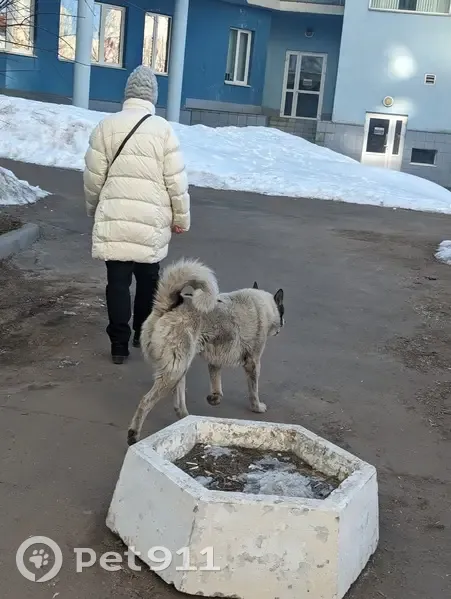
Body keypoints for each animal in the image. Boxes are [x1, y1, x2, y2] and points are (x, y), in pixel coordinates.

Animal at [127, 259, 284, 445]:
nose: (283, 325)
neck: (263, 305)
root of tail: (168, 306)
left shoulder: (215, 360)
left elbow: (216, 382)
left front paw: (215, 398)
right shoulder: (253, 362)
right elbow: (254, 390)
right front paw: (257, 407)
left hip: (180, 368)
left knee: (178, 403)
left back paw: (187, 418)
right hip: (174, 372)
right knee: (146, 401)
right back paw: (133, 434)